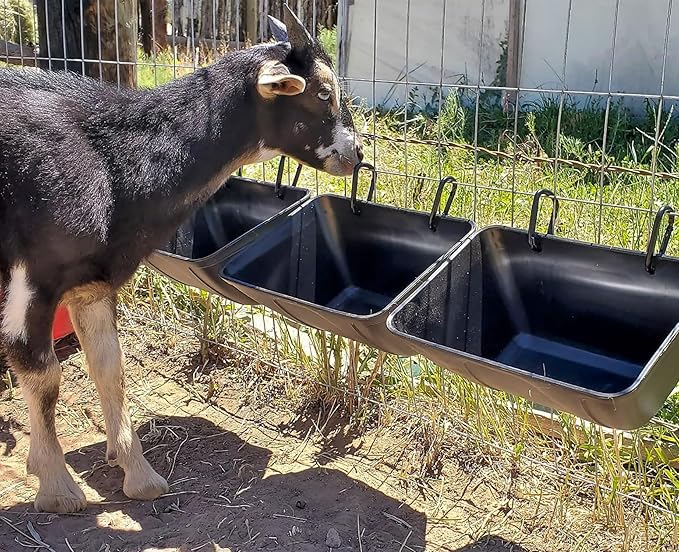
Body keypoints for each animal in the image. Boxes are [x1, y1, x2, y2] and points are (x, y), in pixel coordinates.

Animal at [0, 5, 363, 513]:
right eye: (323, 93)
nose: (358, 153)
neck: (110, 159)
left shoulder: (91, 281)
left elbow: (110, 369)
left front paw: (138, 474)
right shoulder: (31, 281)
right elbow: (43, 375)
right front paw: (57, 487)